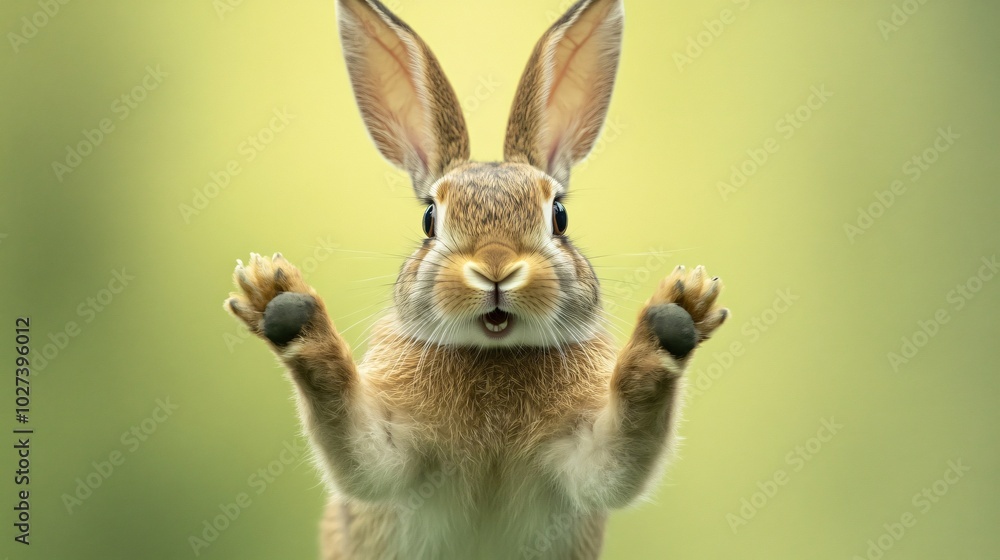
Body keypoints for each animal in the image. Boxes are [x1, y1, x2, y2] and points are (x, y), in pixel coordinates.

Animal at [224, 0, 728, 558]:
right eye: (430, 219)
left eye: (559, 216)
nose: (495, 267)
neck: (493, 353)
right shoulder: (388, 451)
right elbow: (350, 435)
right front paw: (278, 296)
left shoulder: (587, 455)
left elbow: (626, 442)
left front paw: (680, 312)